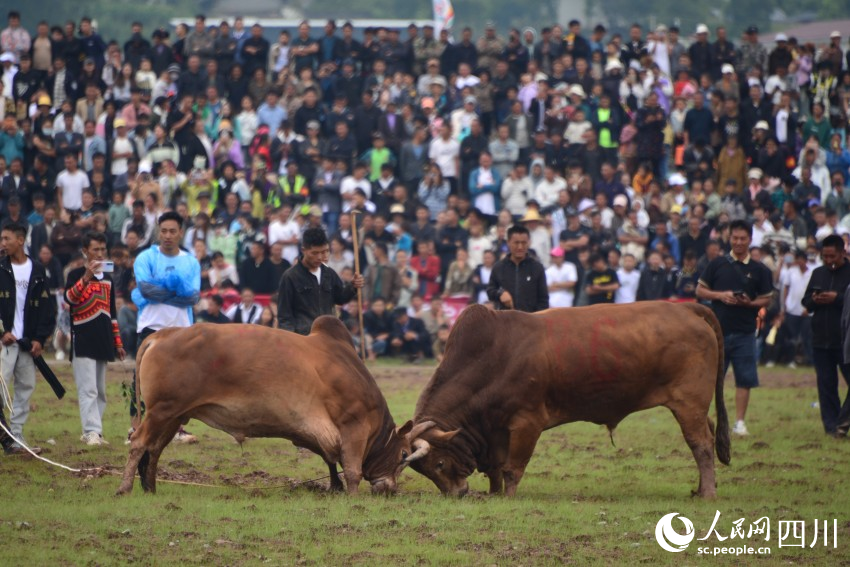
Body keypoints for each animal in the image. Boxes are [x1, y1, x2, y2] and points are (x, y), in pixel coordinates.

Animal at [116, 318, 428, 494]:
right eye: (403, 454)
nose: (390, 489)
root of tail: (162, 335)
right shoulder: (354, 424)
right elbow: (353, 470)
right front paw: (352, 497)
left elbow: (332, 460)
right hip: (162, 411)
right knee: (139, 442)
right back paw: (125, 488)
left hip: (174, 415)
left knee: (155, 448)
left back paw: (151, 488)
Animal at [404, 302, 728, 496]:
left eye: (439, 464)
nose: (456, 494)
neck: (491, 357)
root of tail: (686, 307)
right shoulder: (494, 429)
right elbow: (495, 467)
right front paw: (493, 494)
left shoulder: (526, 423)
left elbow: (511, 468)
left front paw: (506, 497)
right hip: (694, 407)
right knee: (709, 432)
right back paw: (702, 488)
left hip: (689, 403)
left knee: (701, 444)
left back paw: (708, 494)